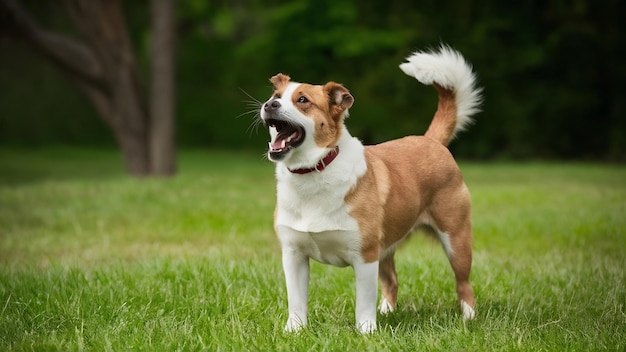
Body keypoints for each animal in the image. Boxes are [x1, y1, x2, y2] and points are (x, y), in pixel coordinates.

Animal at [256, 44, 480, 332]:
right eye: (276, 96)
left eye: (302, 100)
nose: (269, 105)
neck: (315, 170)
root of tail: (431, 141)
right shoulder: (293, 254)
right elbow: (296, 300)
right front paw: (295, 330)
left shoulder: (365, 256)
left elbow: (363, 303)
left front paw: (366, 332)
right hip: (387, 246)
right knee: (392, 281)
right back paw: (387, 311)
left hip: (455, 238)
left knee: (464, 284)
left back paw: (469, 317)